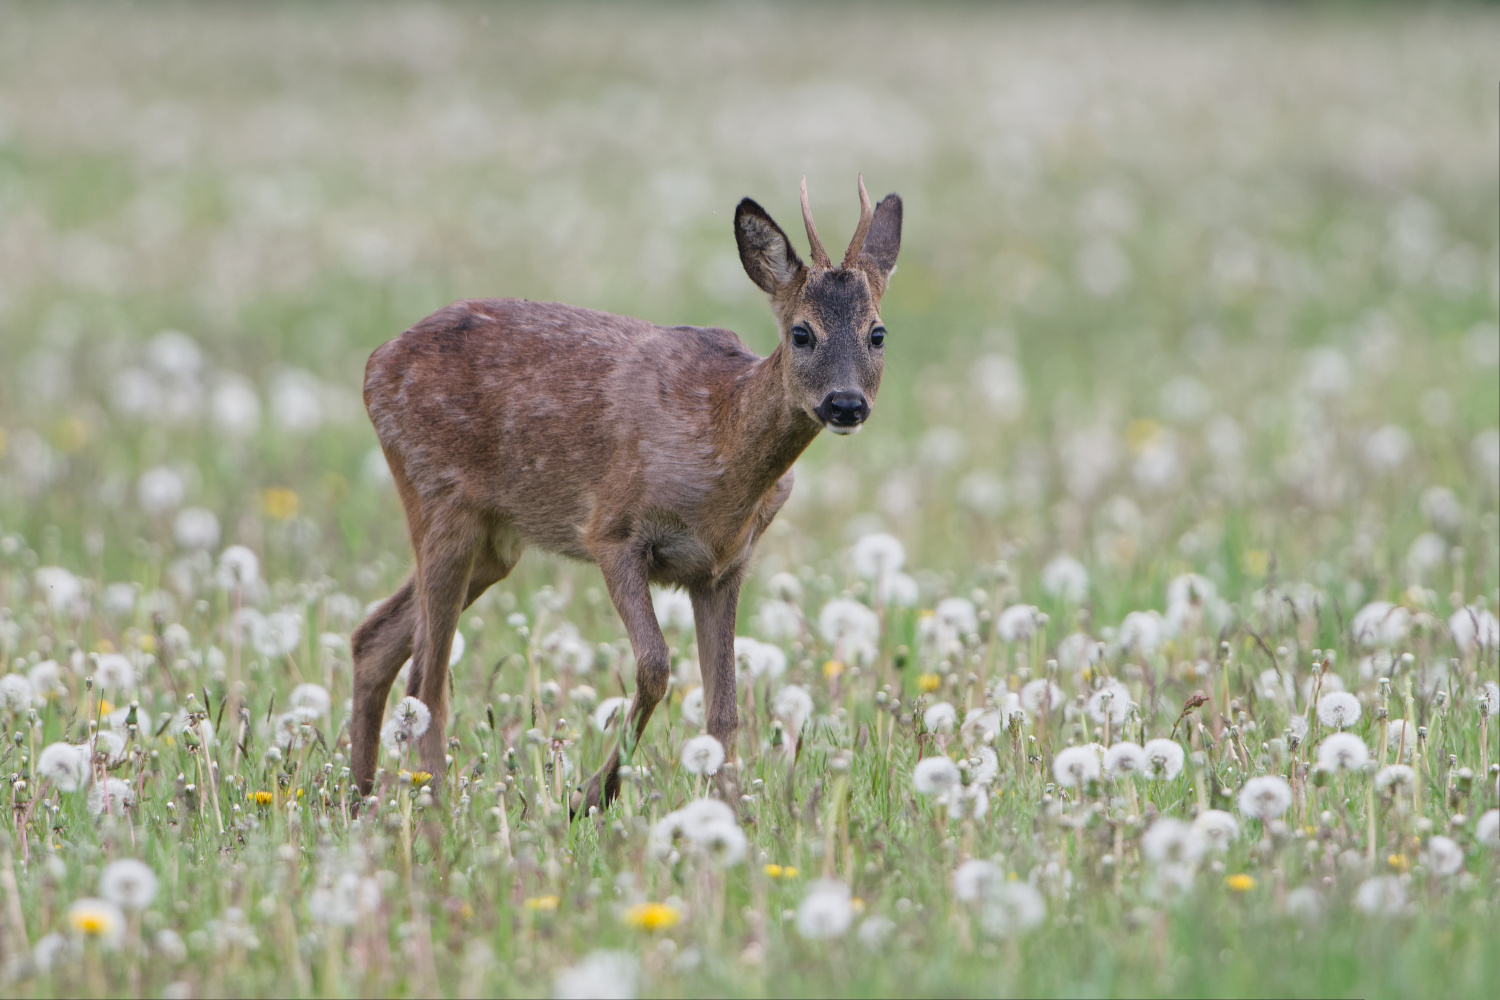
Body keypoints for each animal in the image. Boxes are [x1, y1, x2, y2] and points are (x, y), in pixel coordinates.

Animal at [351, 173, 900, 815]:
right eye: (801, 332)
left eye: (878, 333)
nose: (846, 403)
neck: (718, 447)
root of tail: (375, 364)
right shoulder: (612, 533)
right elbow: (655, 668)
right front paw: (590, 796)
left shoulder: (724, 566)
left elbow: (724, 710)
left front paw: (727, 814)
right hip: (438, 499)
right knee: (427, 681)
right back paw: (436, 807)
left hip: (495, 542)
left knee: (374, 639)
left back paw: (358, 798)